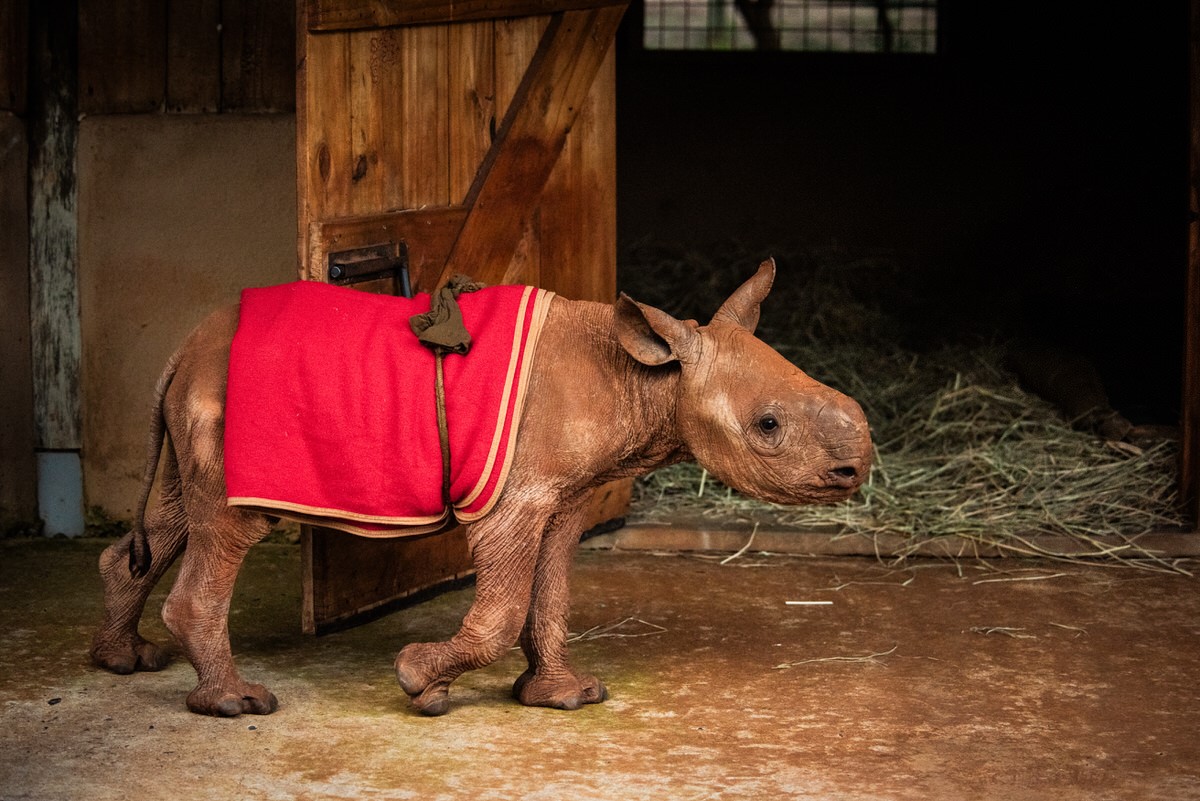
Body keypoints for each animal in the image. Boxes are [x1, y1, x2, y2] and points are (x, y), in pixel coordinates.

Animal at [91, 259, 872, 717]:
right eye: (767, 425)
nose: (856, 470)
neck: (648, 375)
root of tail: (184, 349)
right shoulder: (514, 502)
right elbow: (501, 611)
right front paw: (419, 682)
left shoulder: (561, 497)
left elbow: (549, 597)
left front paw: (563, 697)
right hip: (231, 406)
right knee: (231, 524)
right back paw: (238, 703)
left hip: (201, 400)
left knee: (180, 517)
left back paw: (123, 661)